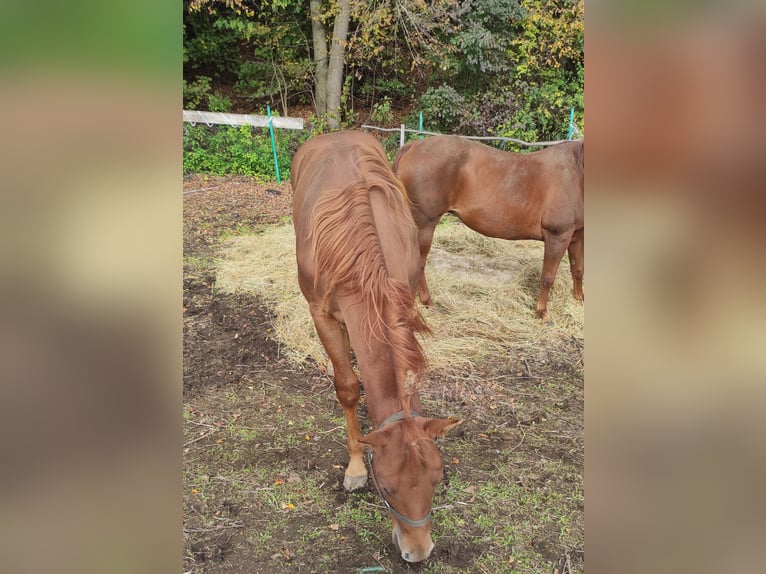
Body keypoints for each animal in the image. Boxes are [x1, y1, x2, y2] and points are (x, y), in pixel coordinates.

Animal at [292, 132, 462, 568]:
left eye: (437, 479)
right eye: (385, 487)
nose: (418, 552)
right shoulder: (321, 315)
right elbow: (348, 388)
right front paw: (354, 467)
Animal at [392, 137, 584, 322]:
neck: (576, 172)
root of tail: (412, 147)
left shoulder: (576, 236)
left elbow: (578, 269)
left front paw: (580, 300)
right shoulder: (558, 236)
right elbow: (548, 277)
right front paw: (542, 313)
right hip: (425, 225)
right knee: (418, 264)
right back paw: (424, 303)